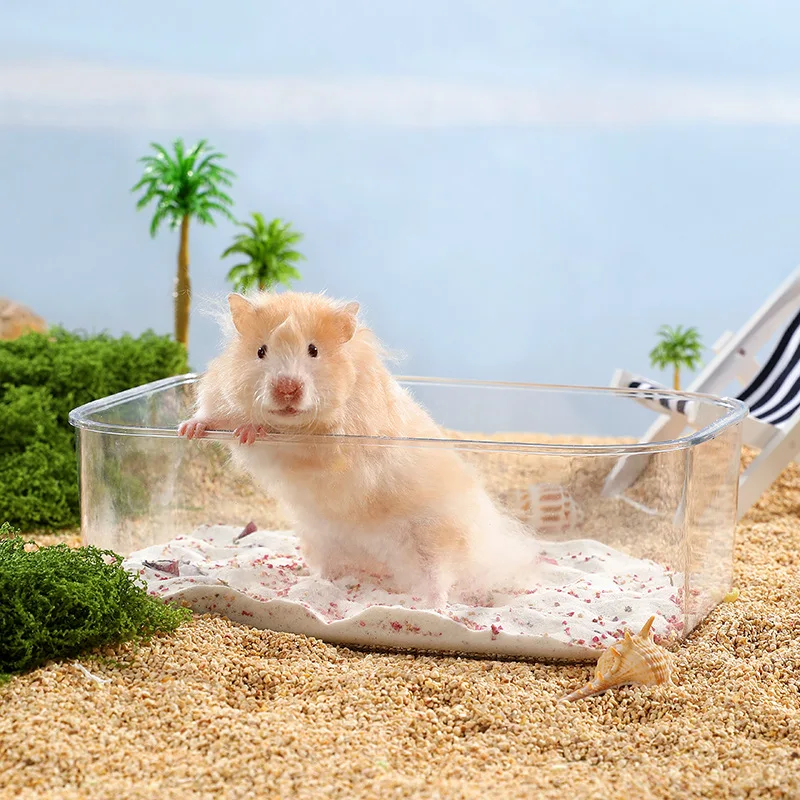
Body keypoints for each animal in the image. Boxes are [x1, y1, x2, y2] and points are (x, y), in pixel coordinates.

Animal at [178, 291, 538, 608]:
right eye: (260, 351)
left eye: (313, 350)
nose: (287, 389)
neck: (292, 422)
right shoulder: (222, 398)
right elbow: (215, 415)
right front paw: (189, 430)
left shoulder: (329, 445)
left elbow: (292, 436)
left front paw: (251, 430)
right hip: (324, 541)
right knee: (332, 573)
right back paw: (313, 584)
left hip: (435, 538)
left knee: (441, 578)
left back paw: (431, 606)